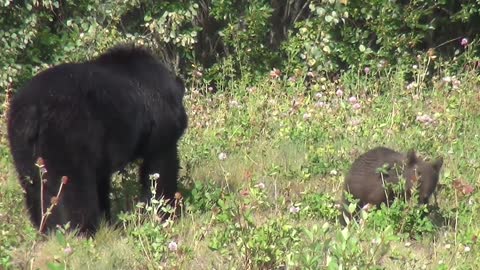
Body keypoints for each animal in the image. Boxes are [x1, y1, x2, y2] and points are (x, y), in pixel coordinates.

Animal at [7, 43, 188, 234]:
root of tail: (32, 112)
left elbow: (102, 181)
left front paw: (107, 220)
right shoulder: (160, 128)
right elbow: (161, 167)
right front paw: (165, 211)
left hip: (22, 146)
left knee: (34, 186)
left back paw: (45, 229)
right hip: (66, 139)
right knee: (74, 189)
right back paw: (81, 230)